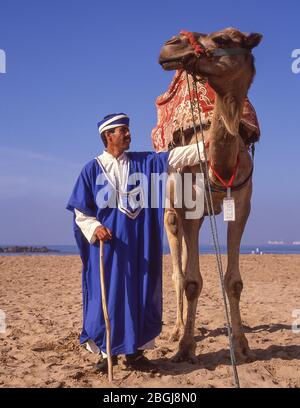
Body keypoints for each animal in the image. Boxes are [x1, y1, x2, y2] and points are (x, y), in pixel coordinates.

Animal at [158, 27, 262, 362]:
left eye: (224, 40)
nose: (170, 45)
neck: (219, 166)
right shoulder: (188, 208)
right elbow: (191, 281)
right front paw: (184, 347)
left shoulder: (241, 206)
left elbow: (233, 281)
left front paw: (242, 346)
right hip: (172, 210)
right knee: (178, 271)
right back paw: (176, 330)